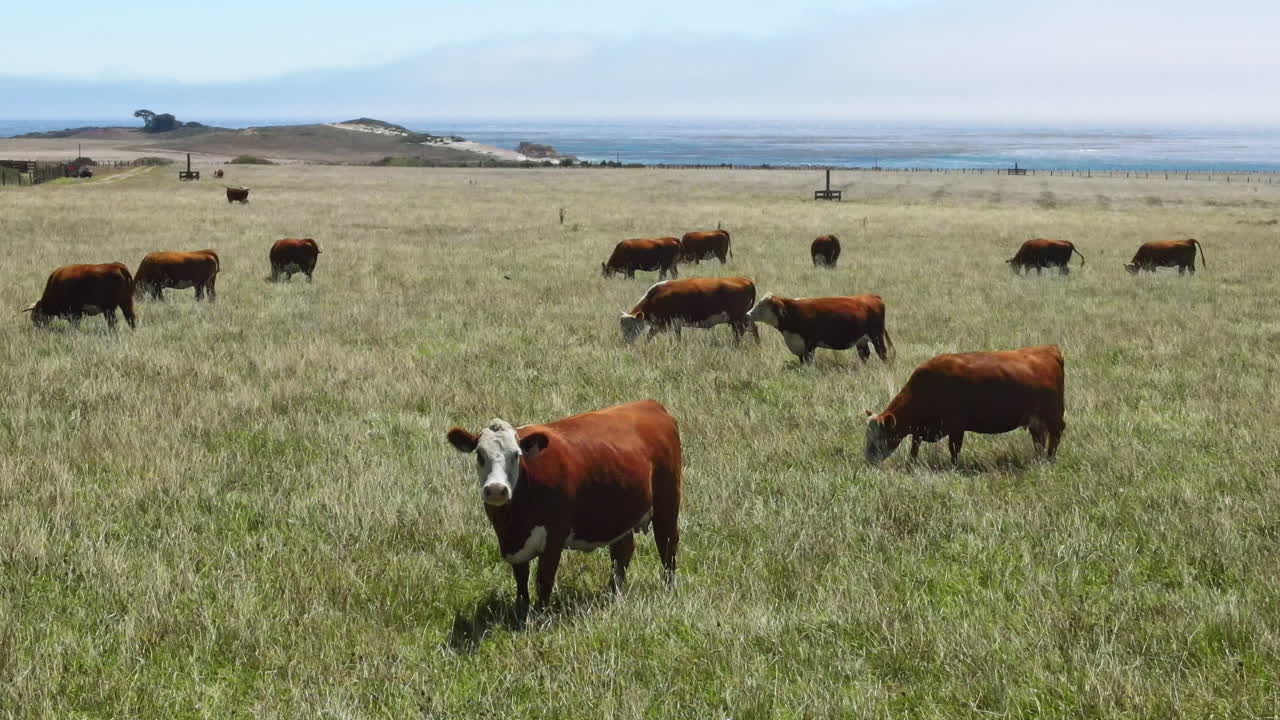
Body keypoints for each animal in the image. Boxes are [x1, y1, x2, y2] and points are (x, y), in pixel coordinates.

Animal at [446, 399, 682, 610]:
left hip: (667, 503)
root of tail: (650, 404)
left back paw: (668, 590)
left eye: (515, 455)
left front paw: (541, 615)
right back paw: (614, 594)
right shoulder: (513, 543)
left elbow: (543, 579)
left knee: (667, 545)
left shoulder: (554, 536)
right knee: (622, 553)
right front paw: (521, 610)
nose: (496, 489)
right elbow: (521, 578)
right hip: (620, 515)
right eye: (480, 455)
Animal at [619, 276, 758, 344]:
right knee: (753, 328)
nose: (626, 343)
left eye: (630, 328)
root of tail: (744, 280)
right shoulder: (660, 325)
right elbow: (649, 336)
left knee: (740, 332)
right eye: (622, 328)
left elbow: (677, 338)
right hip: (742, 317)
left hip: (737, 319)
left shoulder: (674, 322)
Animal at [747, 293, 892, 366]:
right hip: (861, 340)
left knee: (882, 352)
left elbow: (809, 360)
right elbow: (802, 361)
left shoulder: (809, 343)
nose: (748, 314)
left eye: (762, 306)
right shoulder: (799, 345)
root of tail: (872, 296)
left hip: (877, 336)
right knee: (864, 354)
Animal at [864, 344, 1065, 465]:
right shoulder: (922, 428)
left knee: (1055, 435)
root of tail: (1049, 349)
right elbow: (915, 444)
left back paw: (1050, 459)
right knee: (1039, 439)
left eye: (879, 438)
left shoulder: (956, 426)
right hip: (1036, 421)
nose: (868, 461)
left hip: (1052, 416)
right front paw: (911, 464)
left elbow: (954, 448)